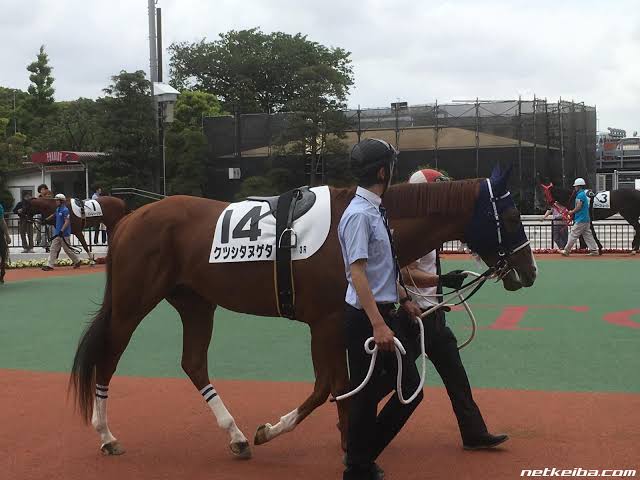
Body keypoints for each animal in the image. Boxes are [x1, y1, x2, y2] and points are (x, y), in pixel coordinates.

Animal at [69, 166, 537, 459]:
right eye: (512, 214)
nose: (529, 272)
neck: (366, 219)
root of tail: (128, 220)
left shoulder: (333, 324)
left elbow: (336, 385)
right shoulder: (327, 322)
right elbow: (334, 385)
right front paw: (320, 438)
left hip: (196, 302)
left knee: (193, 363)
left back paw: (235, 436)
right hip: (132, 303)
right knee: (109, 357)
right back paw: (106, 435)